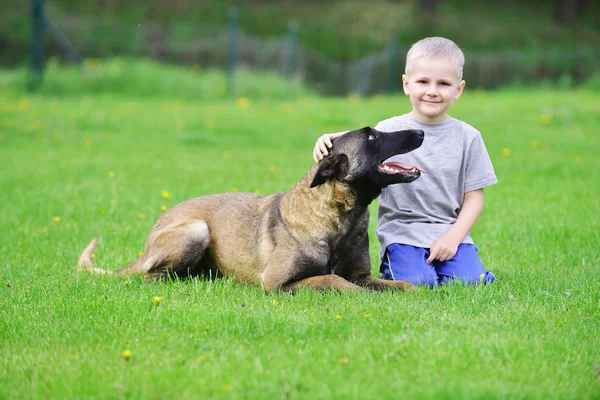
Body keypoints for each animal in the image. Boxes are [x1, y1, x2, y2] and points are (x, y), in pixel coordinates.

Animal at [77, 126, 424, 292]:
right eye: (372, 136)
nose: (420, 132)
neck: (339, 217)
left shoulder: (362, 274)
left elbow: (406, 285)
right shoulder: (275, 283)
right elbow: (333, 281)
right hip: (196, 231)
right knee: (152, 276)